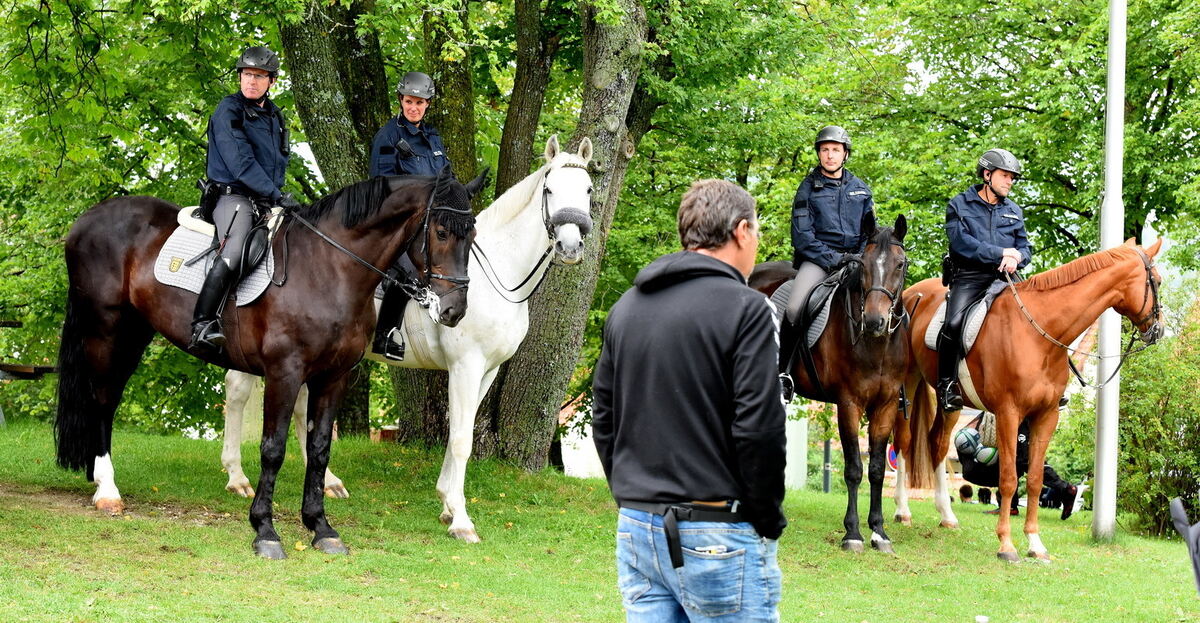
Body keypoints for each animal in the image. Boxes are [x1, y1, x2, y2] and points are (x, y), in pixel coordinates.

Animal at [51, 170, 482, 561]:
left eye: (472, 235)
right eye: (441, 232)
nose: (455, 310)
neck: (329, 267)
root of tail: (90, 217)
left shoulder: (334, 378)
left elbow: (319, 449)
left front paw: (321, 527)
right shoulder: (284, 373)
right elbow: (273, 449)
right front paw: (265, 530)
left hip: (134, 331)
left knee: (107, 398)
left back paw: (98, 479)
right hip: (105, 328)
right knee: (102, 400)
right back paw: (107, 491)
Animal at [219, 135, 595, 540]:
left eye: (588, 190)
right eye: (550, 189)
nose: (570, 247)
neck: (494, 274)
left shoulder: (487, 371)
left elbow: (458, 431)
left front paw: (446, 503)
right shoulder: (465, 366)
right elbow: (461, 440)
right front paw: (461, 520)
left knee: (302, 407)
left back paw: (329, 482)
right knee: (237, 391)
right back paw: (237, 477)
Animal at [748, 216, 907, 556]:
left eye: (900, 264)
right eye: (863, 264)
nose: (874, 321)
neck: (877, 346)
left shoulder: (885, 406)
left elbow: (876, 469)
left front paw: (879, 532)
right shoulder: (849, 405)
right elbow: (854, 469)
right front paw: (853, 533)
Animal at [902, 237, 1161, 561]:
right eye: (1157, 281)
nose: (1159, 330)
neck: (1039, 334)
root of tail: (910, 293)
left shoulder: (1047, 415)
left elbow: (1035, 481)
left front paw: (1035, 544)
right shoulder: (1008, 413)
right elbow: (1009, 479)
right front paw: (1006, 544)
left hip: (950, 402)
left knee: (936, 442)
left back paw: (947, 516)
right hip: (907, 381)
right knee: (902, 442)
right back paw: (902, 512)